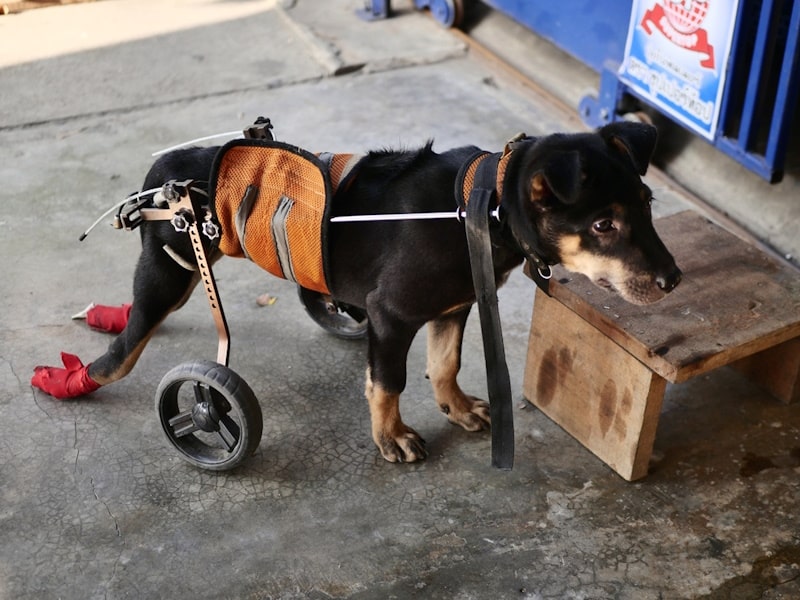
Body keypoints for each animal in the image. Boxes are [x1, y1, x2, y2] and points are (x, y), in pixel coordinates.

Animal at [31, 122, 680, 464]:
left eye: (648, 204)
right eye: (603, 225)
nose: (673, 281)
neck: (482, 207)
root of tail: (162, 171)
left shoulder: (454, 307)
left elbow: (446, 363)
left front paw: (456, 407)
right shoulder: (392, 317)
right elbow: (388, 382)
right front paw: (391, 436)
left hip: (179, 267)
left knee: (141, 313)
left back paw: (104, 315)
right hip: (174, 264)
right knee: (125, 352)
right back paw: (74, 377)